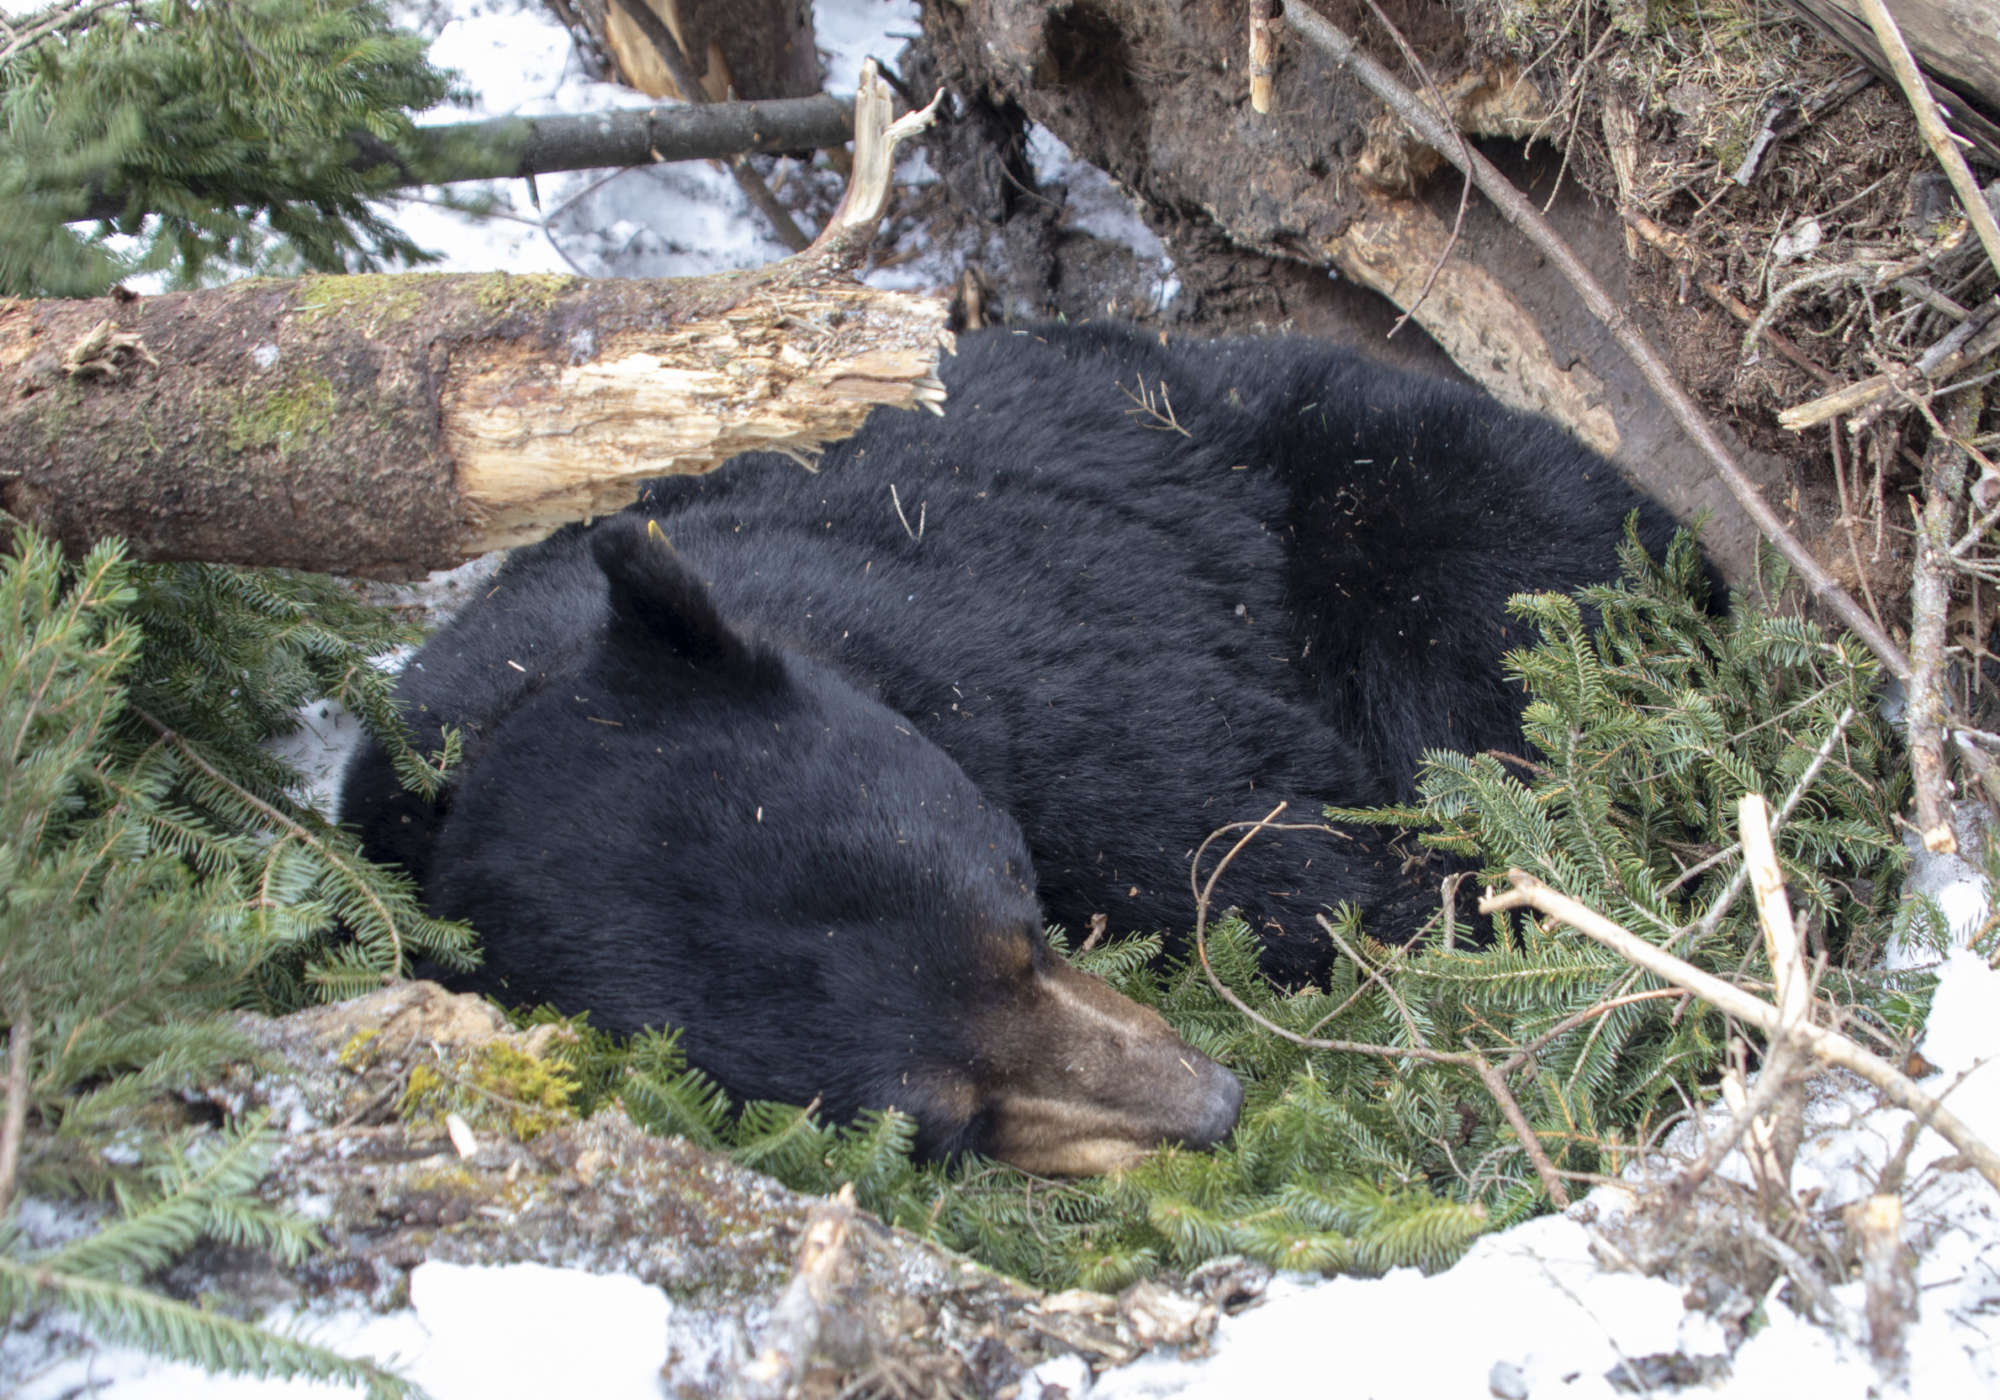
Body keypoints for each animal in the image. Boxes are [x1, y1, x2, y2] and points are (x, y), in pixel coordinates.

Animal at [339, 321, 1689, 1173]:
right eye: (941, 1121)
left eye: (1020, 920)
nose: (1212, 1105)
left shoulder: (1056, 685)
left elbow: (1297, 860)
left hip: (1421, 500)